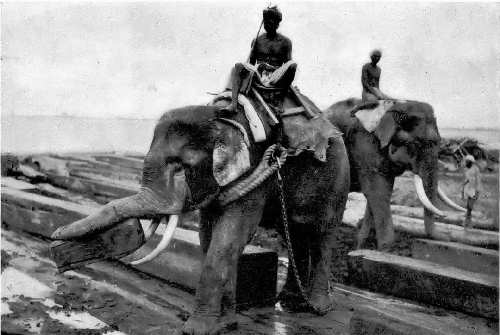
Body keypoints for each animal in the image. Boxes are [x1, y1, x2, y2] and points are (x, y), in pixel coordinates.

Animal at [49, 105, 348, 335]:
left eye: (181, 167)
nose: (54, 237)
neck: (221, 119)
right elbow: (208, 237)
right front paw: (226, 324)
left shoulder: (255, 174)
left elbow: (229, 239)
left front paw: (197, 330)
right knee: (295, 236)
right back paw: (291, 303)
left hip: (337, 183)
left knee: (323, 236)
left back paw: (319, 307)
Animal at [326, 98, 462, 251]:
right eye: (417, 143)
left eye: (439, 142)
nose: (448, 238)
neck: (394, 105)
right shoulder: (363, 145)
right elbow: (377, 192)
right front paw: (385, 249)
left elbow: (381, 193)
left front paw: (360, 247)